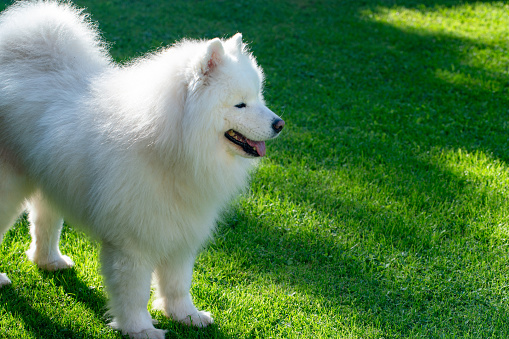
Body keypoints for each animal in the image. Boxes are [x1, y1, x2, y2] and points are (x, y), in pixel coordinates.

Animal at [0, 1, 284, 338]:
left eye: (258, 97)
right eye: (240, 104)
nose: (279, 124)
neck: (172, 147)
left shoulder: (179, 231)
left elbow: (178, 283)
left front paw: (186, 316)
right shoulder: (132, 242)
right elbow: (134, 292)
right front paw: (140, 329)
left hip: (51, 179)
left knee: (45, 222)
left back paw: (50, 262)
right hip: (9, 189)